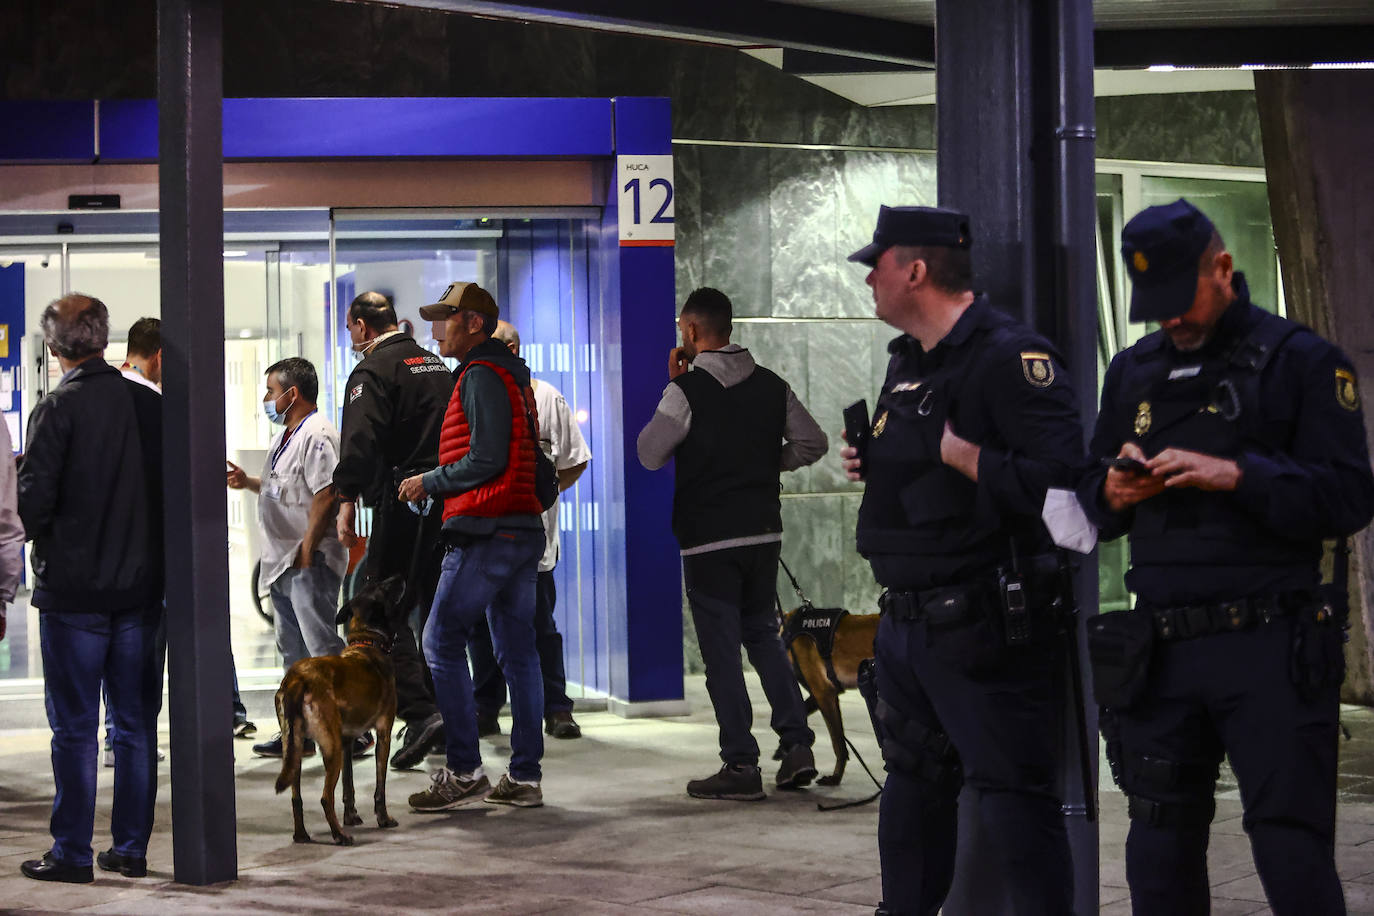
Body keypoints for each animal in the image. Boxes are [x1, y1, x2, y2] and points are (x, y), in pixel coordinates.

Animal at [274, 576, 403, 851]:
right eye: (385, 588)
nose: (400, 576)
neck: (367, 643)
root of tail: (297, 679)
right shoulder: (383, 734)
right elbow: (380, 786)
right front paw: (383, 818)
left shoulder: (346, 741)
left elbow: (349, 785)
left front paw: (351, 816)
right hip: (330, 748)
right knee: (325, 798)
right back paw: (339, 835)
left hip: (296, 747)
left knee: (296, 797)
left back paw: (302, 835)